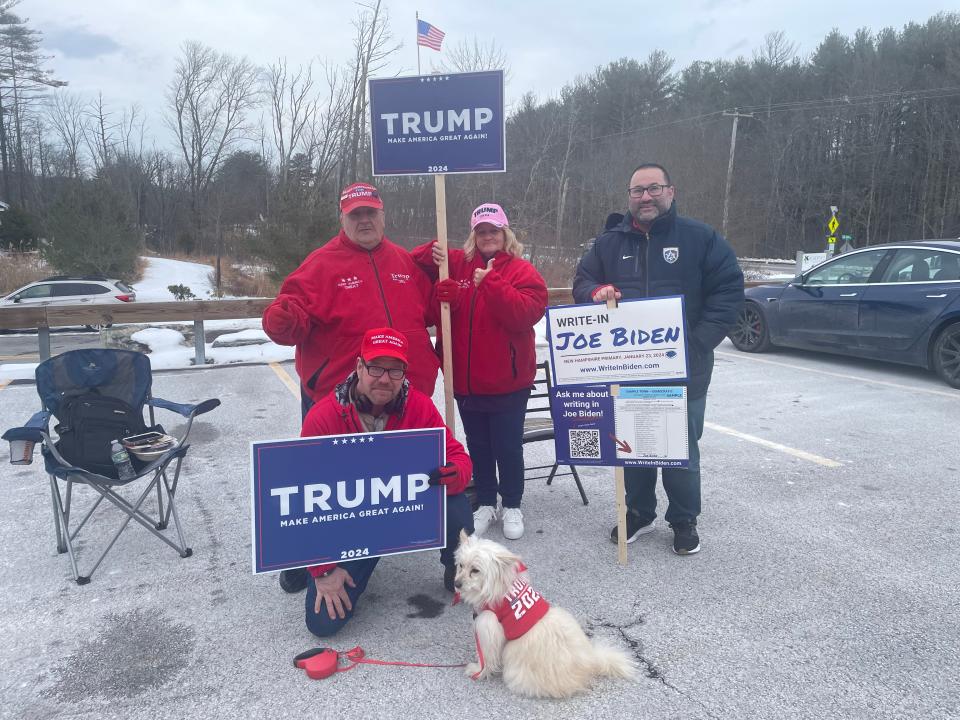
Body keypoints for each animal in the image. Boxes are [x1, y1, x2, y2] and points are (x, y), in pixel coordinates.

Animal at [452, 528, 636, 696]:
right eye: (460, 565)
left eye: (475, 570)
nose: (456, 584)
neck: (498, 587)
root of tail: (591, 663)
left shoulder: (488, 629)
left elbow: (486, 658)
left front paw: (477, 670)